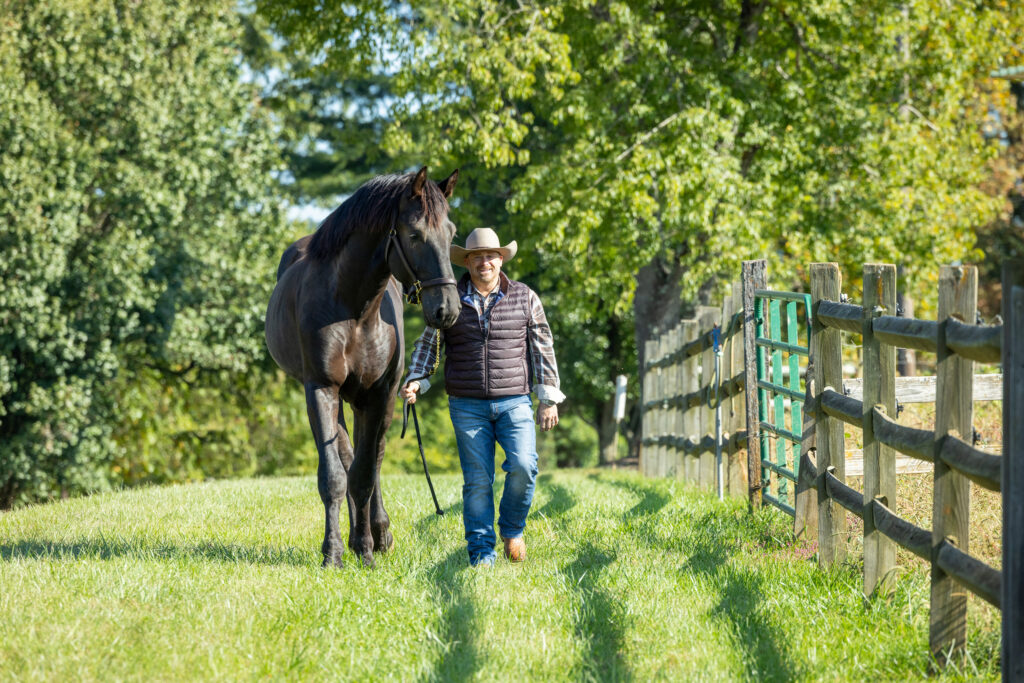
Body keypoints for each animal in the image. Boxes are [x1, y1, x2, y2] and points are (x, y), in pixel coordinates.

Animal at [265, 167, 461, 568]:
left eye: (451, 234)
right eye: (414, 234)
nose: (447, 309)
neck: (354, 307)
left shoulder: (380, 394)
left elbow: (366, 474)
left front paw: (368, 548)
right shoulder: (321, 389)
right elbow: (335, 476)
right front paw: (334, 552)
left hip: (368, 402)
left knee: (373, 458)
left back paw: (378, 532)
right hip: (342, 399)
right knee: (347, 456)